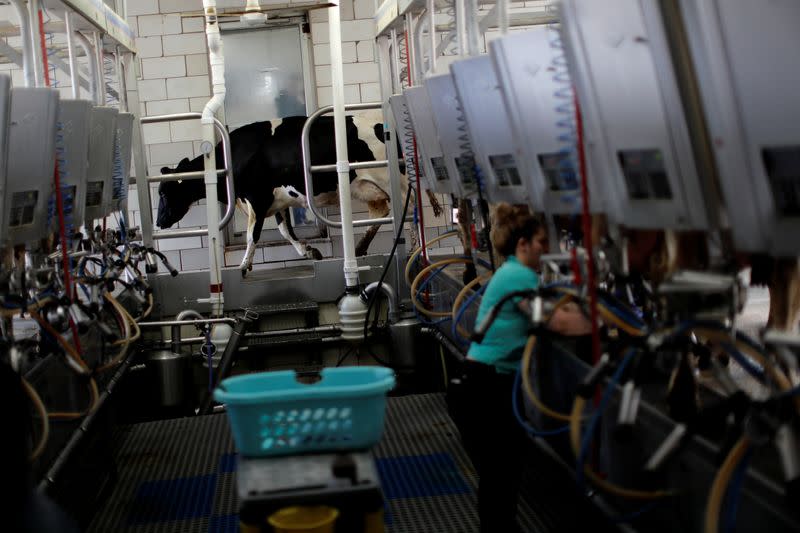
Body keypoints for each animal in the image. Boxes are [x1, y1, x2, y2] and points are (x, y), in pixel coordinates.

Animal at [155, 114, 412, 276]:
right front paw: (309, 251)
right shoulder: (278, 201)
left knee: (409, 210)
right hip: (369, 187)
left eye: (165, 193)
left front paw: (243, 266)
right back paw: (360, 248)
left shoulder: (257, 198)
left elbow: (252, 235)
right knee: (381, 213)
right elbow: (285, 230)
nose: (158, 222)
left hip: (394, 182)